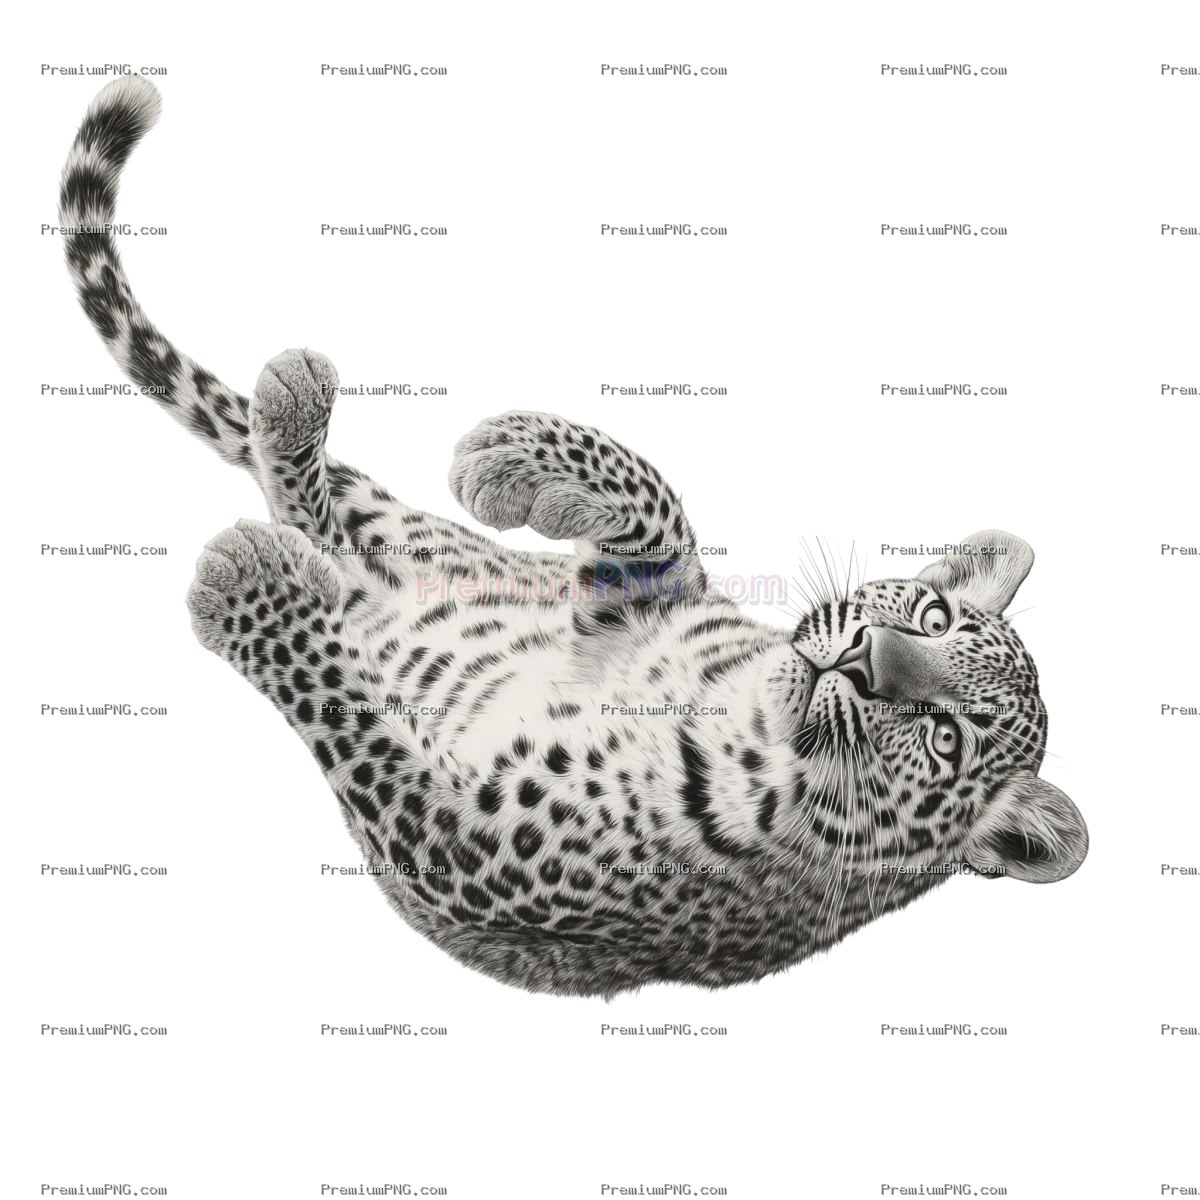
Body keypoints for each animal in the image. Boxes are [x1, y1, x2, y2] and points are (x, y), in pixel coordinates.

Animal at [55, 74, 1089, 997]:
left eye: (947, 738)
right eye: (931, 614)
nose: (867, 661)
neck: (743, 717)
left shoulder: (464, 849)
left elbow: (353, 721)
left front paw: (242, 585)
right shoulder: (629, 608)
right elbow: (659, 507)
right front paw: (507, 456)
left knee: (328, 555)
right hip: (429, 554)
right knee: (331, 512)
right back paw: (296, 403)